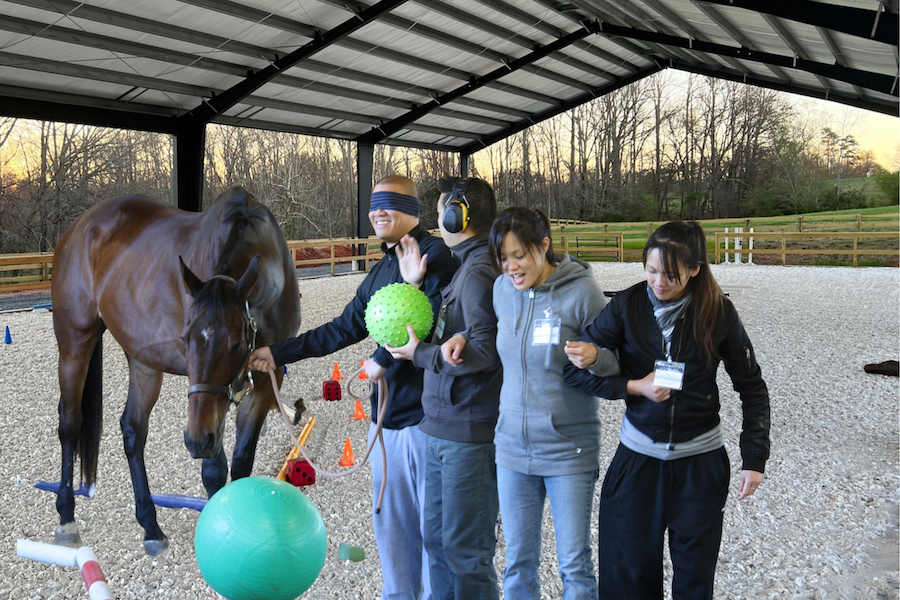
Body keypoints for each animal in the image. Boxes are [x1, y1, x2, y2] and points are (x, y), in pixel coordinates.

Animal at [50, 185, 302, 556]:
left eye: (237, 343)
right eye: (185, 338)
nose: (196, 440)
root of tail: (78, 229)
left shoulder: (267, 381)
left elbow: (242, 463)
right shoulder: (208, 410)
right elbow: (215, 472)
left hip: (143, 360)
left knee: (133, 429)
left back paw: (150, 526)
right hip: (74, 343)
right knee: (70, 423)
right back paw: (67, 519)